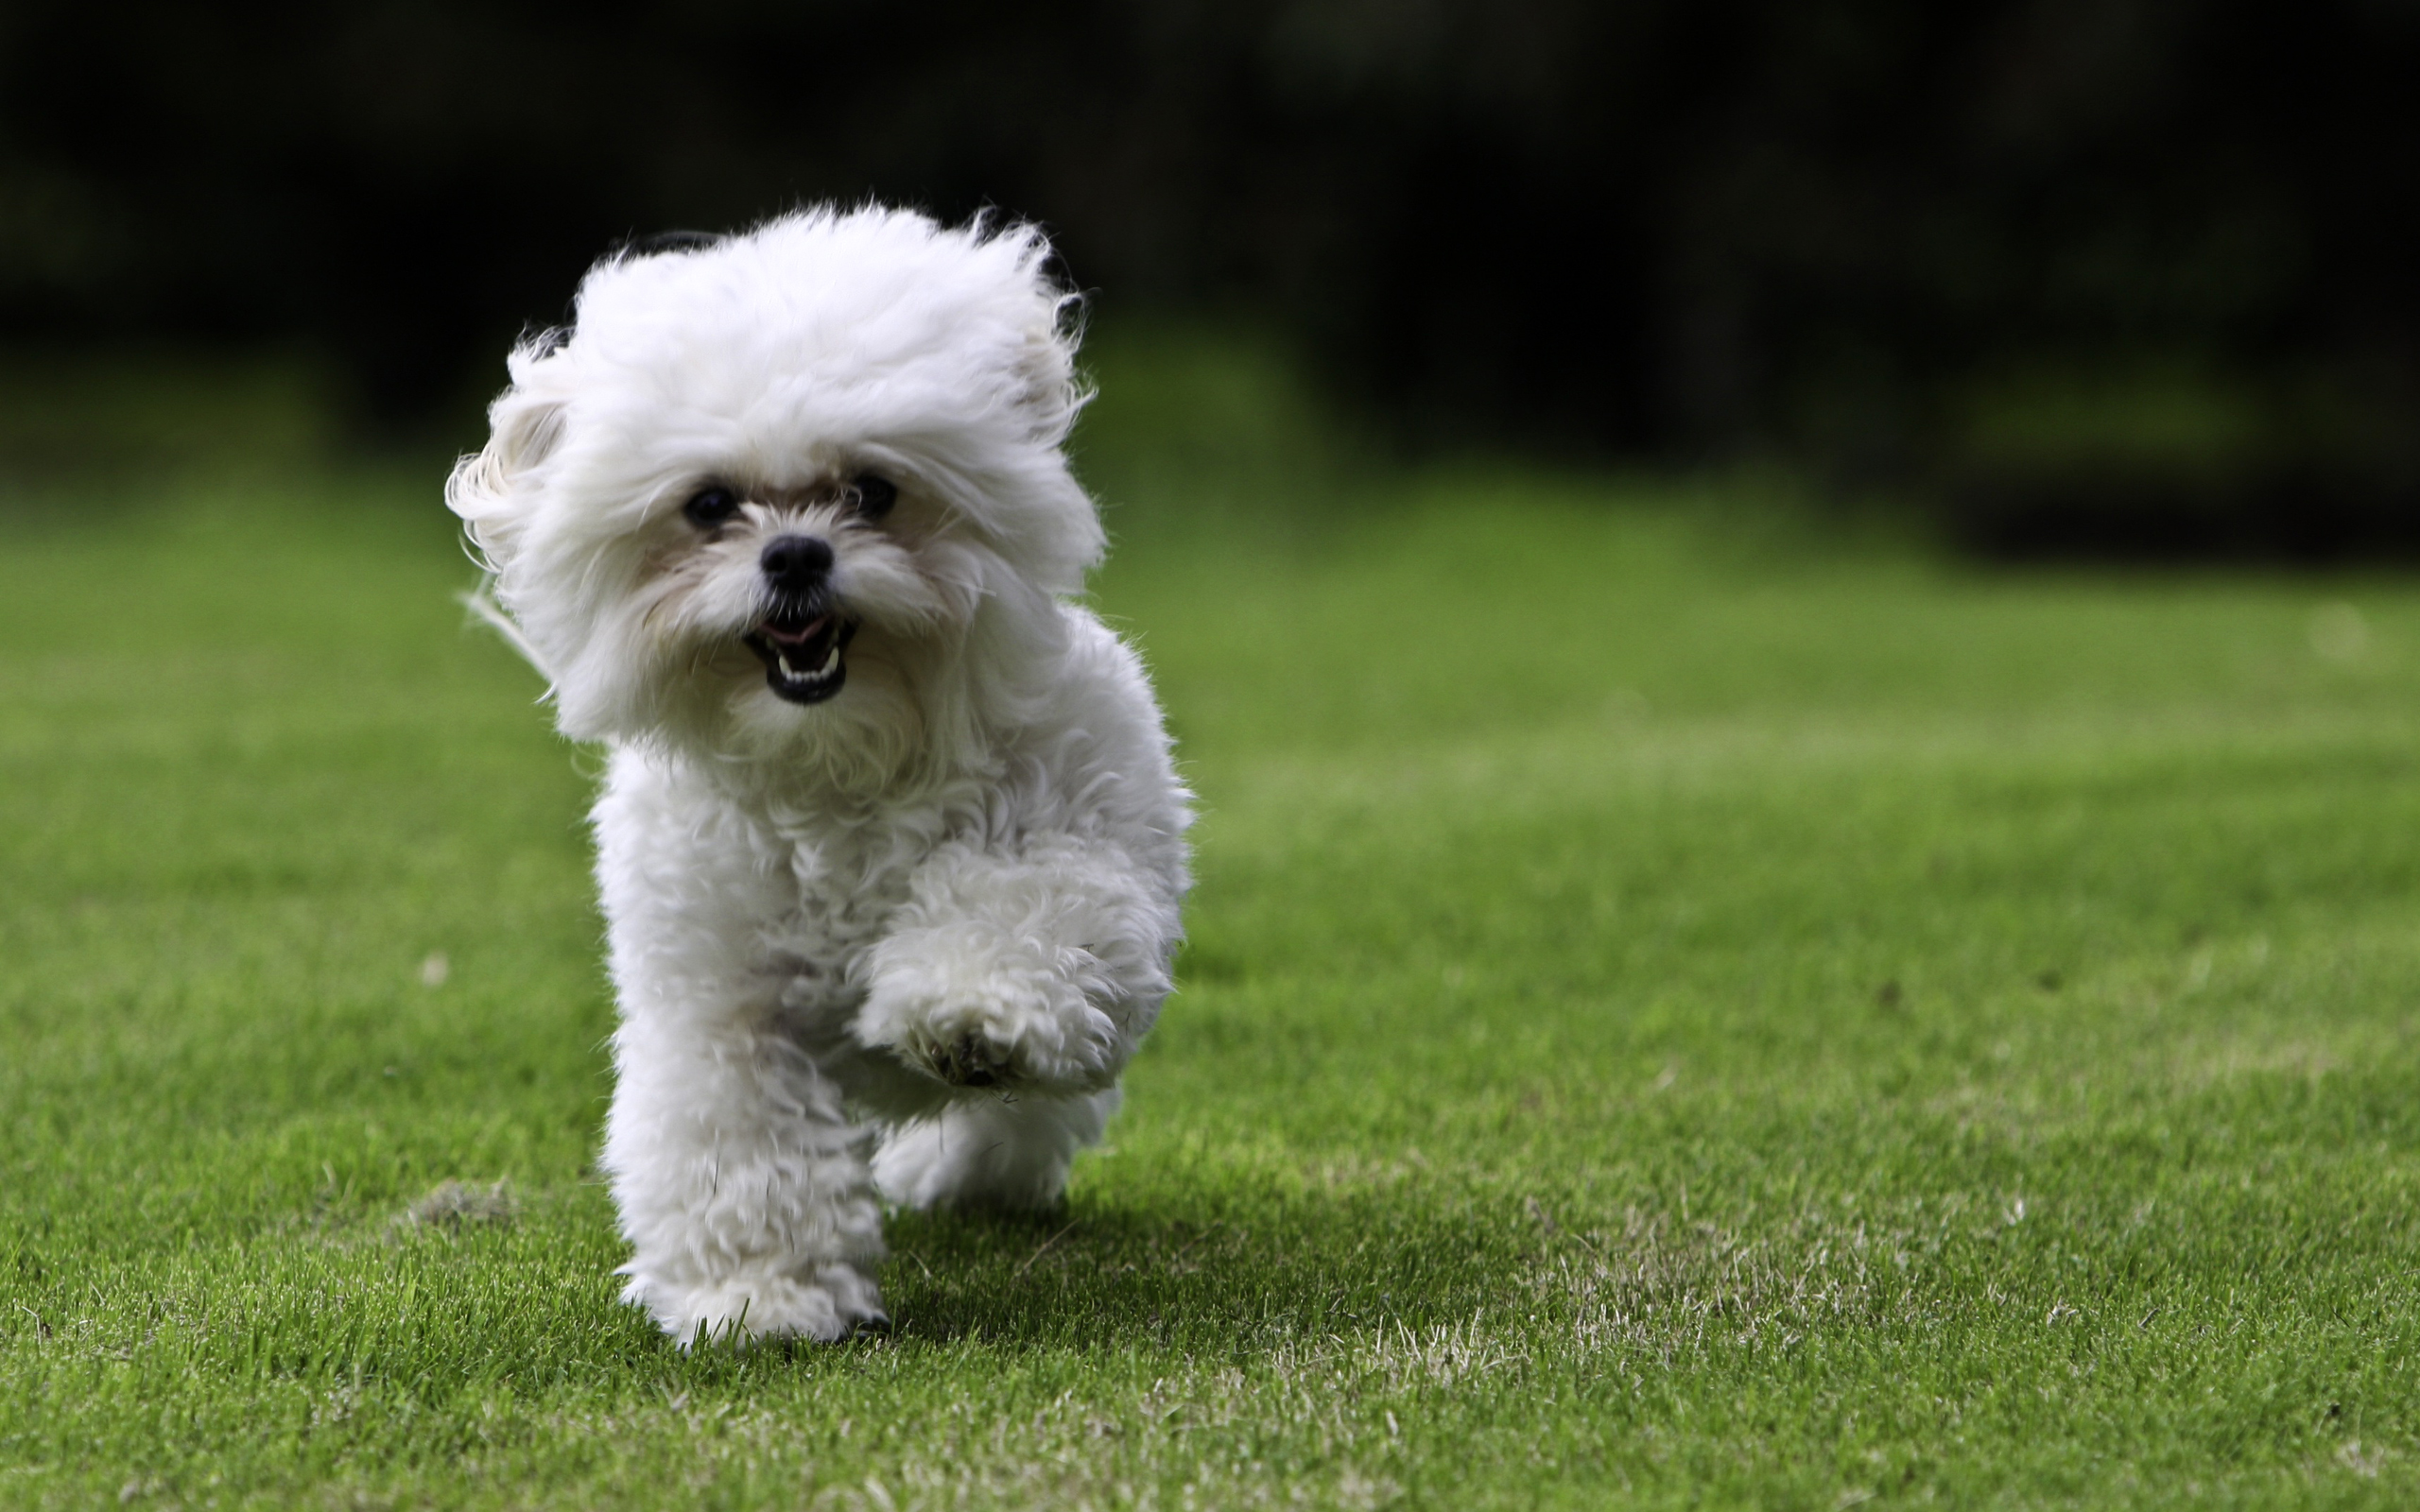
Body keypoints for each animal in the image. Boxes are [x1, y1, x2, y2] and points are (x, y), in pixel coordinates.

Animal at [447, 206, 1190, 1335]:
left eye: (872, 491)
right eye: (710, 505)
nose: (795, 554)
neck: (838, 756)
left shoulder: (1080, 839)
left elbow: (1018, 914)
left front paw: (968, 1015)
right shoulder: (719, 1002)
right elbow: (740, 1144)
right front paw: (758, 1294)